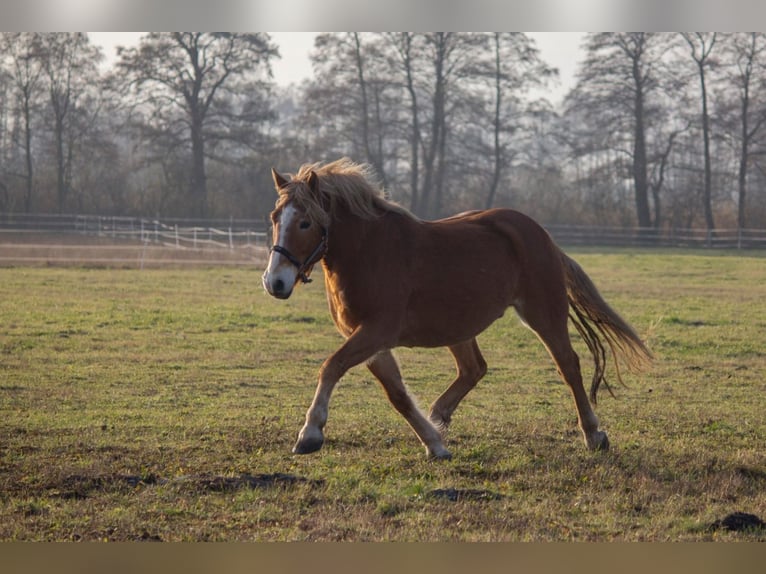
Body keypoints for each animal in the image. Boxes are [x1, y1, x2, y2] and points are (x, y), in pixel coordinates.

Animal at [262, 158, 651, 459]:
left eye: (305, 222)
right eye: (275, 217)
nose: (274, 282)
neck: (368, 252)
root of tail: (542, 235)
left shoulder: (376, 331)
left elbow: (331, 367)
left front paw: (310, 434)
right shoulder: (369, 339)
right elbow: (397, 393)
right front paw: (434, 443)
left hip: (542, 313)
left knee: (568, 365)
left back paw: (594, 434)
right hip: (458, 326)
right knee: (474, 369)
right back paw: (438, 418)